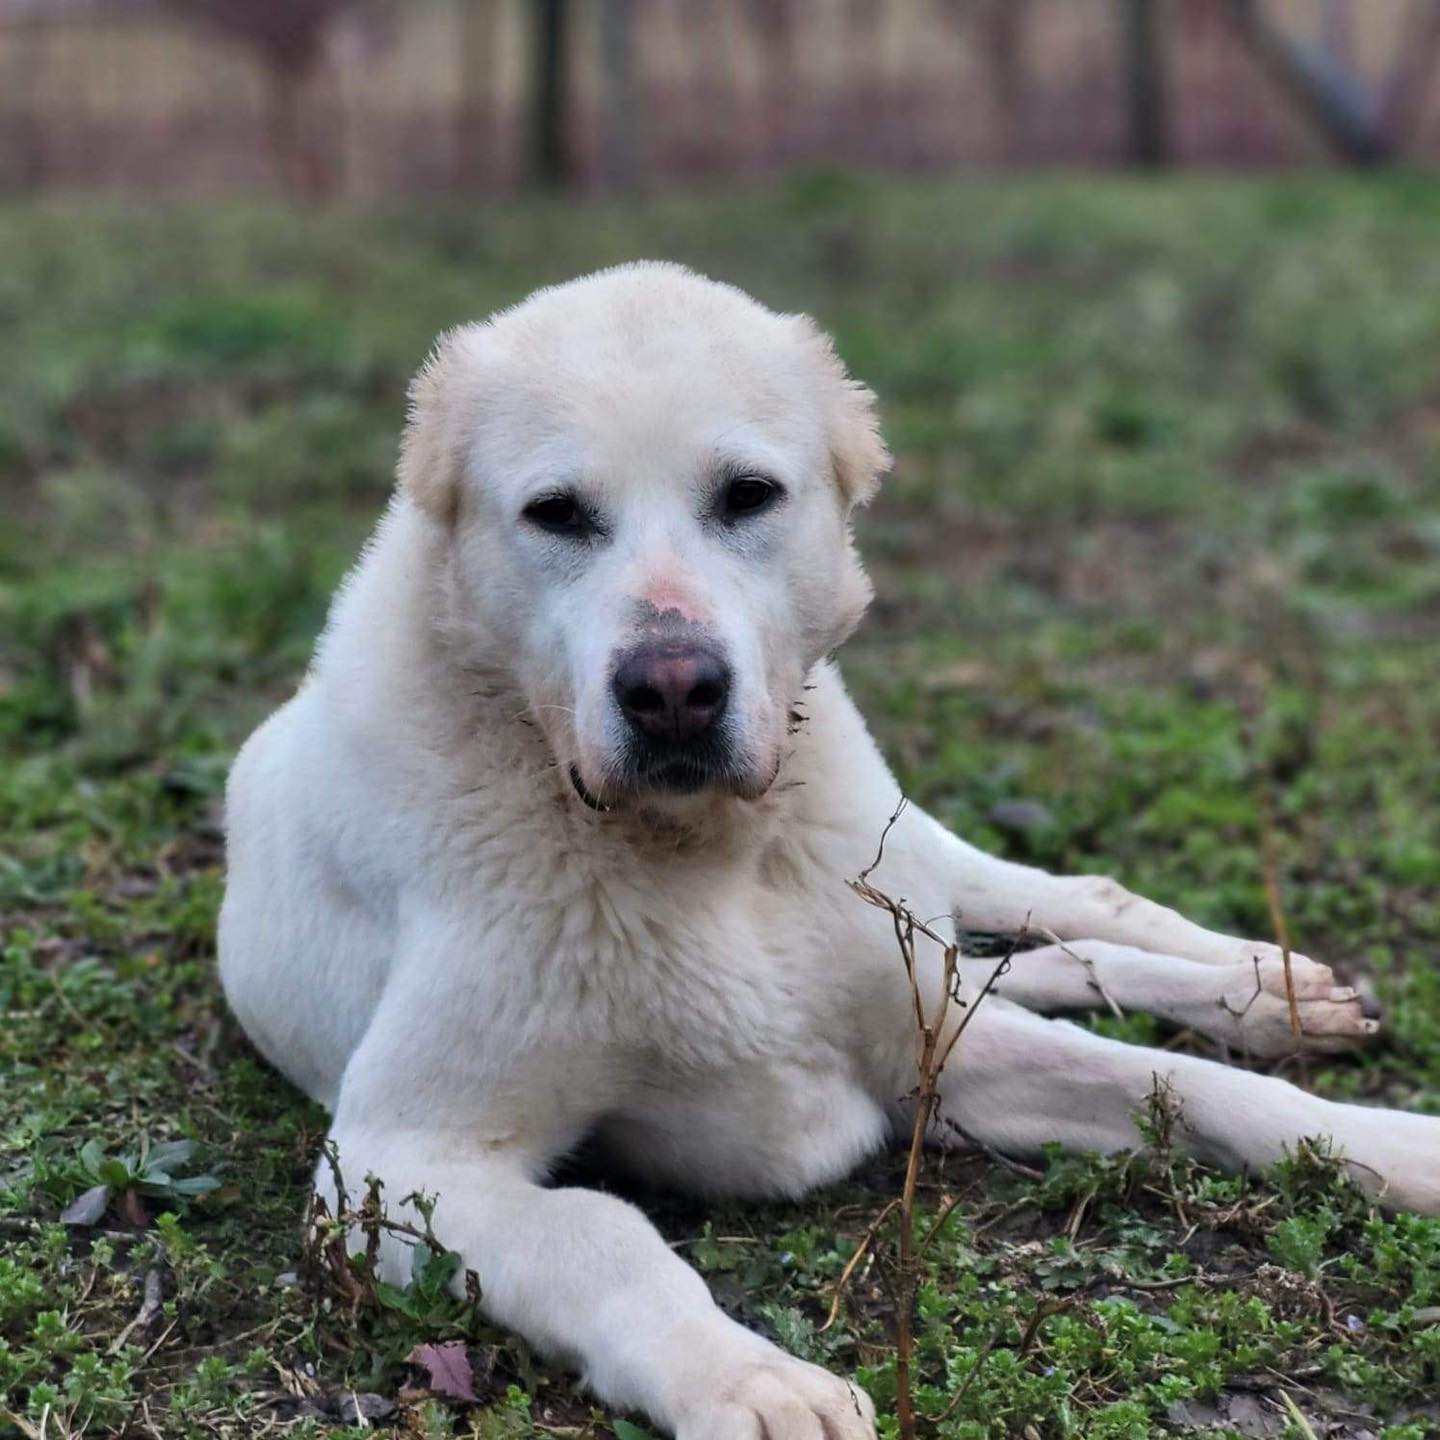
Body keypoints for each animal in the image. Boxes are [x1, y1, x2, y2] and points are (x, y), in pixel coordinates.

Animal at [221, 264, 1440, 1434]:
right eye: (556, 514)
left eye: (747, 495)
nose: (674, 693)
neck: (704, 848)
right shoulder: (399, 1161)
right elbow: (599, 1239)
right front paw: (748, 1381)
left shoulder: (927, 1048)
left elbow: (1192, 1086)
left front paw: (1396, 1144)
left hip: (929, 877)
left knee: (1075, 908)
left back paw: (1267, 988)